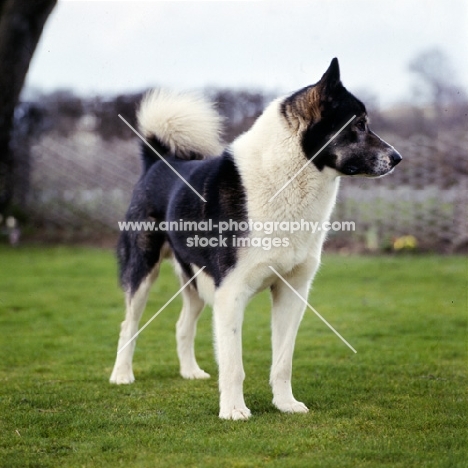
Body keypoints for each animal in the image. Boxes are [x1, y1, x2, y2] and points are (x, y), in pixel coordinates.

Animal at [110, 58, 402, 420]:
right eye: (359, 125)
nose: (397, 158)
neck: (289, 177)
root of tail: (157, 160)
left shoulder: (292, 291)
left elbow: (283, 361)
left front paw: (286, 404)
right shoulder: (231, 292)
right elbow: (233, 364)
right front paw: (234, 411)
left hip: (197, 282)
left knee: (182, 325)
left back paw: (190, 372)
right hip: (143, 270)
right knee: (128, 324)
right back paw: (122, 375)